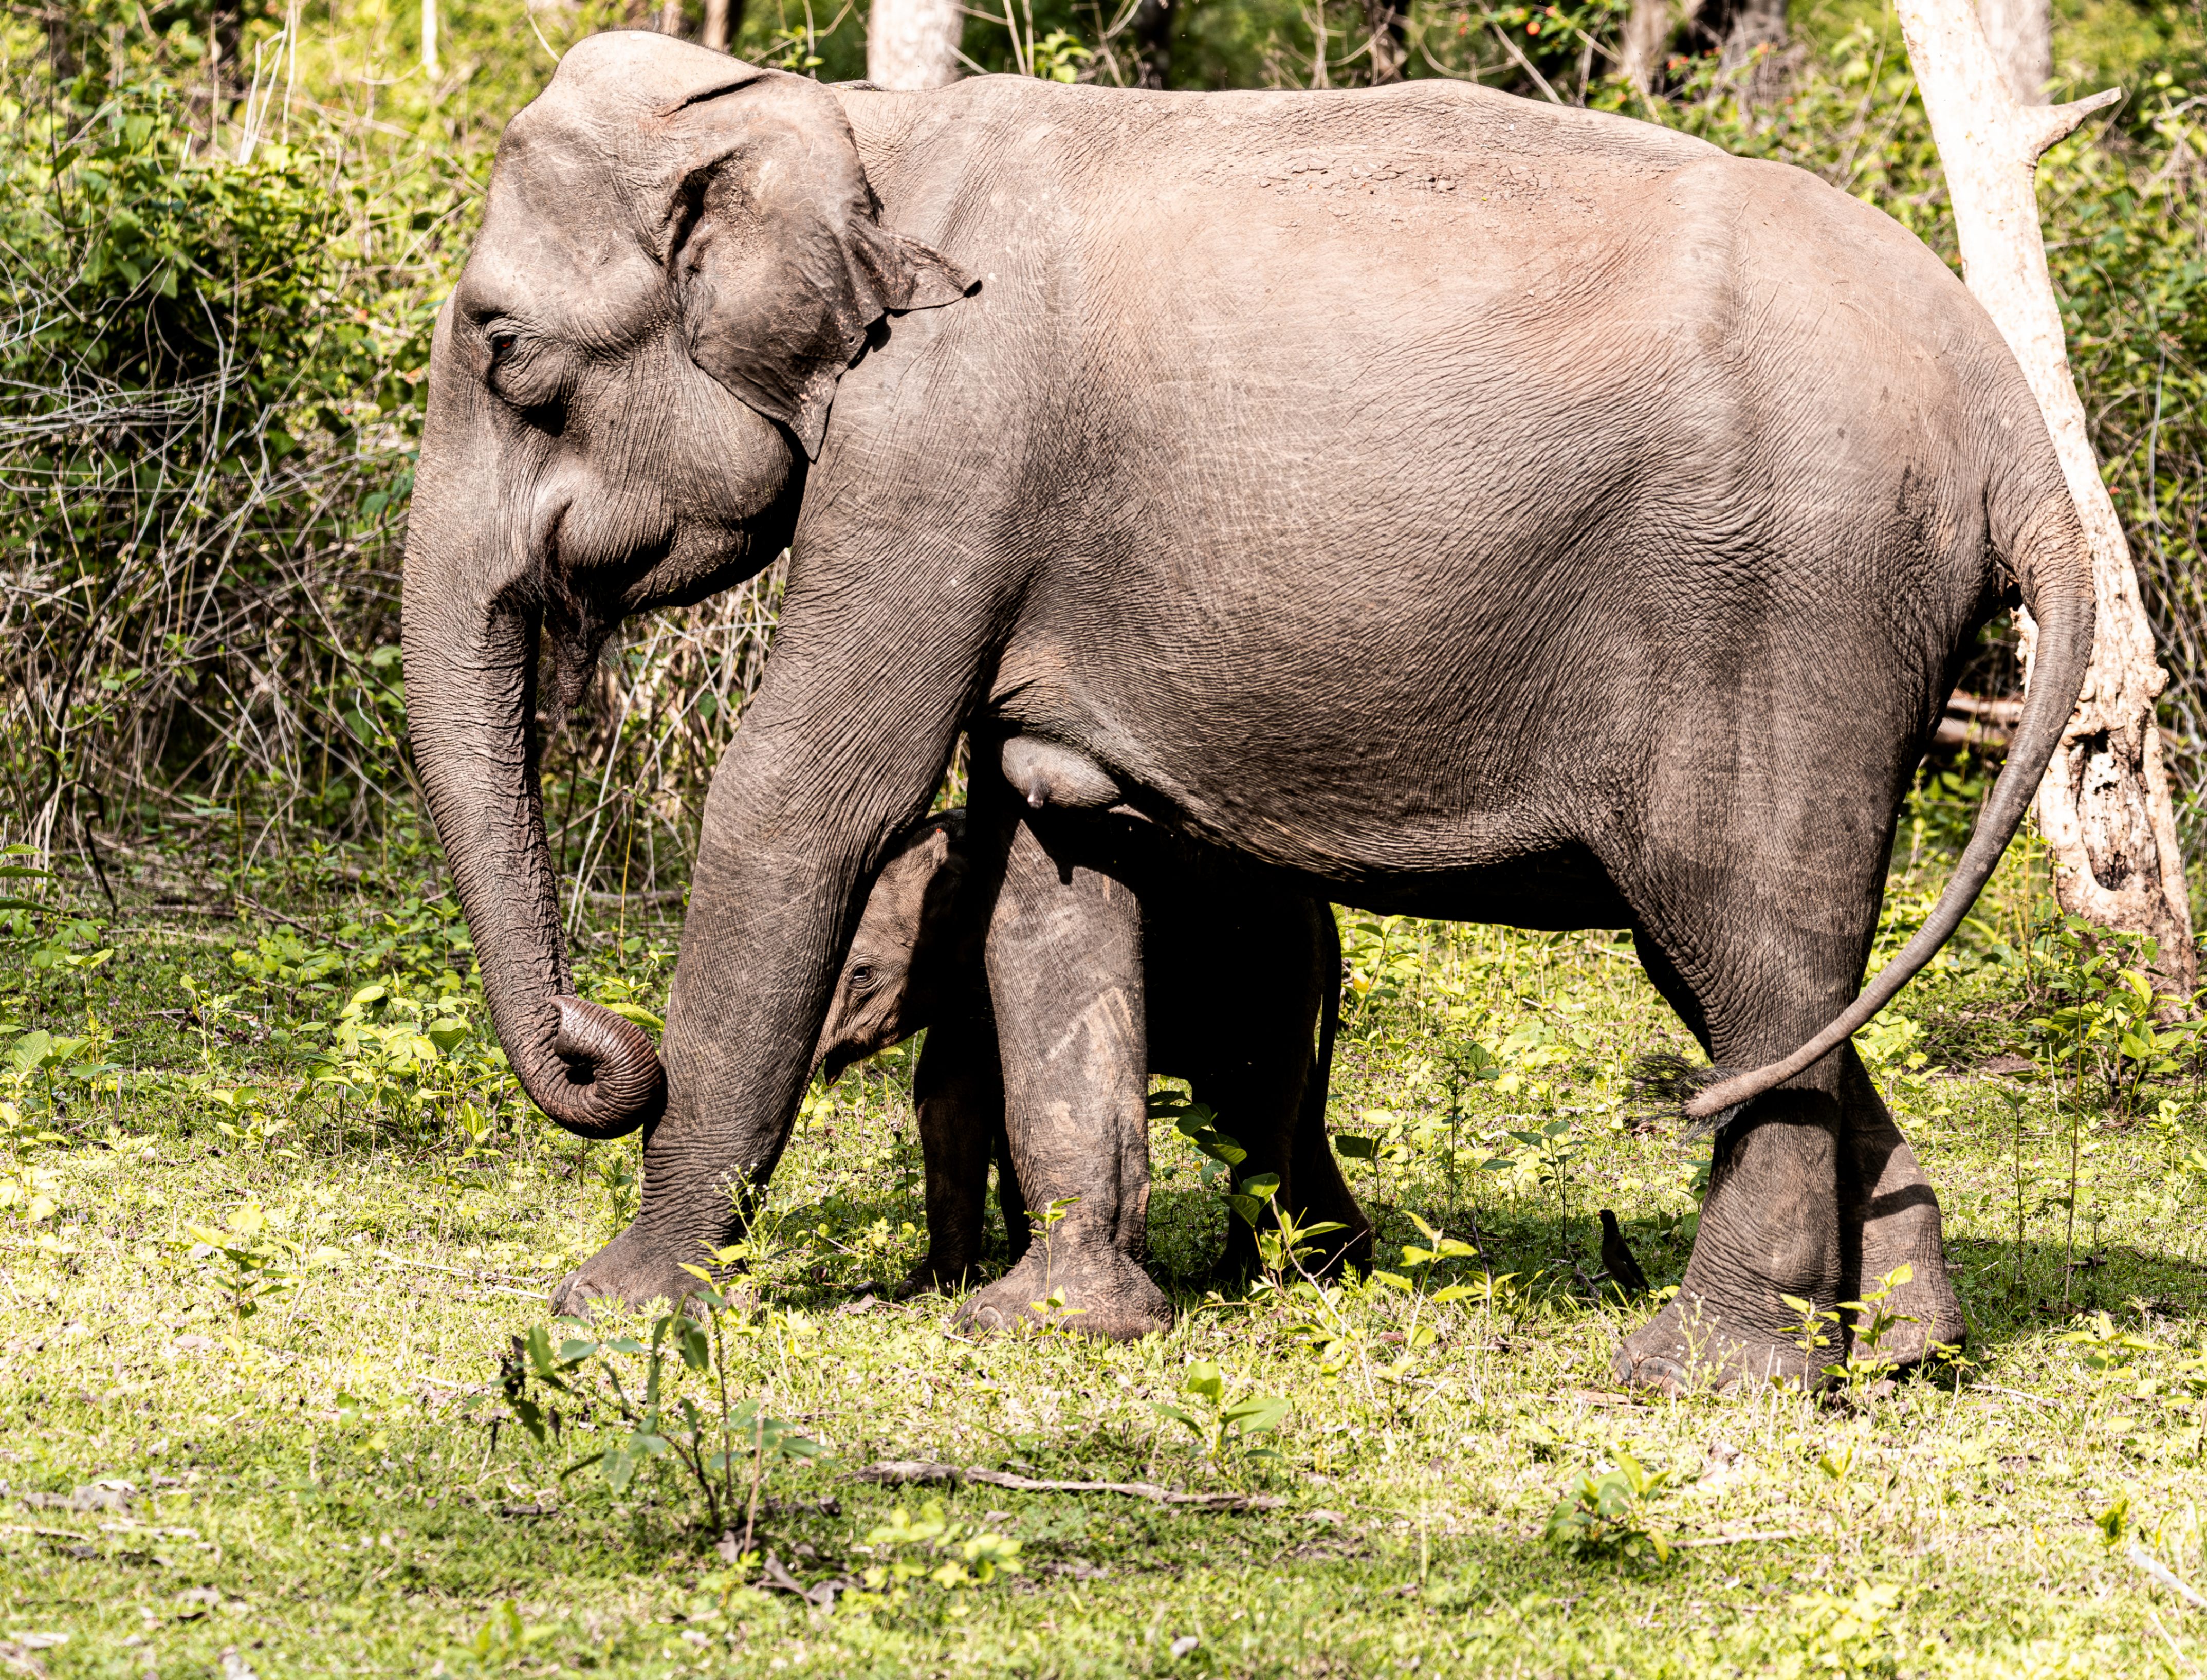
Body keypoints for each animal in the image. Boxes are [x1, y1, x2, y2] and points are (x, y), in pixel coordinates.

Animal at [806, 792, 1372, 1302]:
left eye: (861, 974)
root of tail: (1323, 906)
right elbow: (948, 1098)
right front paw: (929, 1288)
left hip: (1273, 971)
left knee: (1253, 1113)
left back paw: (1242, 1279)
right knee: (1292, 1118)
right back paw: (1342, 1264)